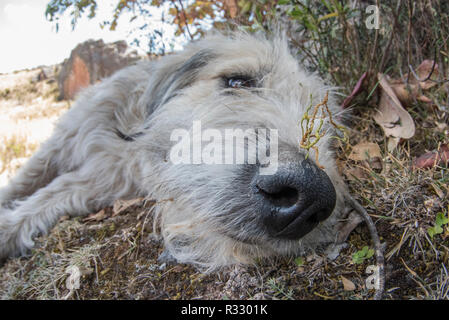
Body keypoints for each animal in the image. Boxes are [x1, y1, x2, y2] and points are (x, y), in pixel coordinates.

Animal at [0, 31, 346, 270]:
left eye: (326, 130)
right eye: (237, 81)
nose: (310, 195)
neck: (128, 143)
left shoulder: (102, 180)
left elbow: (51, 195)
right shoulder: (62, 142)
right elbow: (27, 178)